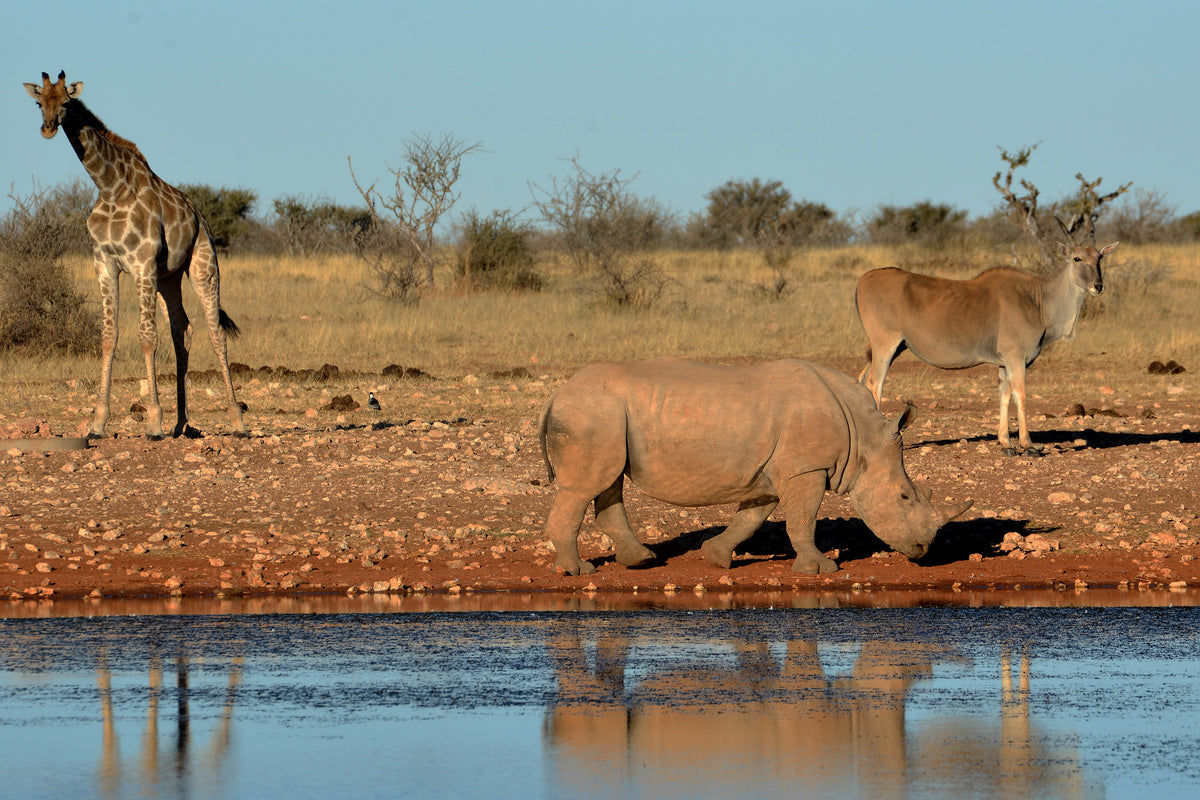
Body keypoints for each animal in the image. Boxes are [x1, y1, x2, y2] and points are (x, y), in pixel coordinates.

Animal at [23, 70, 247, 439]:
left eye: (67, 102)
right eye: (39, 103)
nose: (48, 128)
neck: (110, 187)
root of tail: (199, 215)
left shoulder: (142, 264)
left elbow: (146, 337)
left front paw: (153, 422)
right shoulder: (105, 264)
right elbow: (109, 336)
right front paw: (97, 423)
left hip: (203, 266)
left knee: (216, 332)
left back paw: (237, 421)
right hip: (169, 278)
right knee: (182, 331)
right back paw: (180, 423)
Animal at [537, 357, 972, 575]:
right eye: (904, 496)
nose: (924, 550)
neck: (864, 435)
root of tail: (558, 393)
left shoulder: (773, 472)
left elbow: (752, 518)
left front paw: (716, 557)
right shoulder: (806, 469)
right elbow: (803, 520)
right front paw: (821, 569)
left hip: (603, 416)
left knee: (606, 483)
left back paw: (641, 562)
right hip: (593, 413)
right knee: (585, 486)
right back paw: (577, 572)